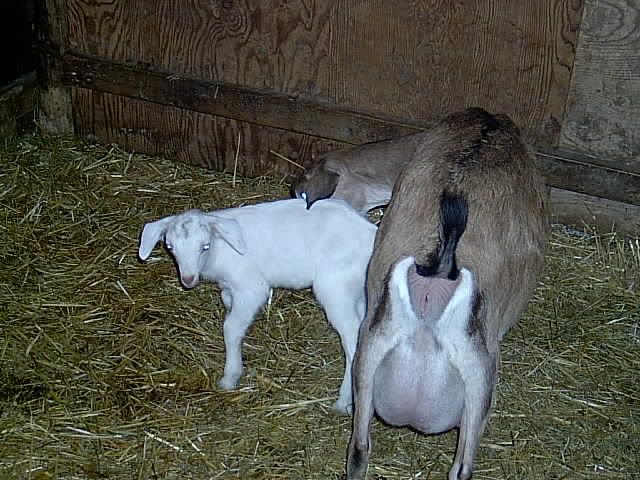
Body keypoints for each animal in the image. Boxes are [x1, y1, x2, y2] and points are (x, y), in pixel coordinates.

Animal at [138, 198, 377, 414]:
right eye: (170, 247)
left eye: (204, 246)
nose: (187, 280)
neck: (220, 251)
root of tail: (370, 235)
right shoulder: (229, 288)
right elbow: (228, 304)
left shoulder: (250, 288)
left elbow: (231, 328)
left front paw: (230, 377)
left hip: (335, 287)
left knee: (352, 338)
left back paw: (343, 402)